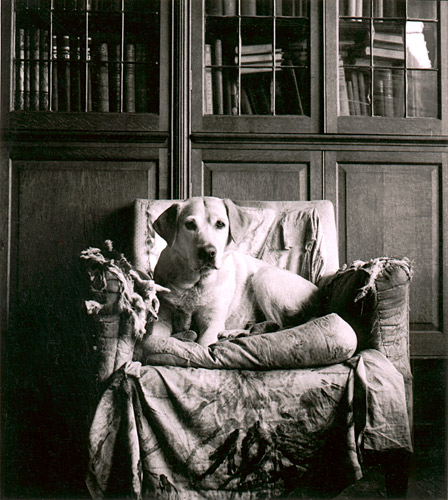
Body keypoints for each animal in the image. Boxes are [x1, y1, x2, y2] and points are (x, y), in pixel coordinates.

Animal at [142, 196, 316, 348]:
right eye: (190, 224)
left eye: (220, 224)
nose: (208, 252)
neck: (196, 282)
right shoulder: (162, 317)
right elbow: (153, 338)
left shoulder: (212, 321)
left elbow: (203, 345)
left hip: (264, 276)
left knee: (278, 325)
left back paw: (234, 332)